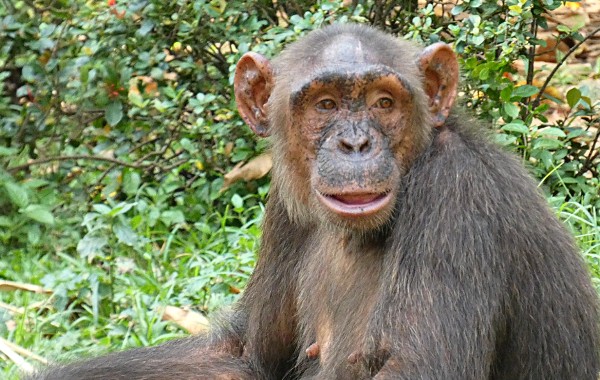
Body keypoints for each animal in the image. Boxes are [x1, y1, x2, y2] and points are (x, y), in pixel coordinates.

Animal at [30, 23, 596, 380]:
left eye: (383, 102)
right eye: (325, 104)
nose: (355, 143)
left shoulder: (456, 195)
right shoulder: (285, 207)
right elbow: (247, 357)